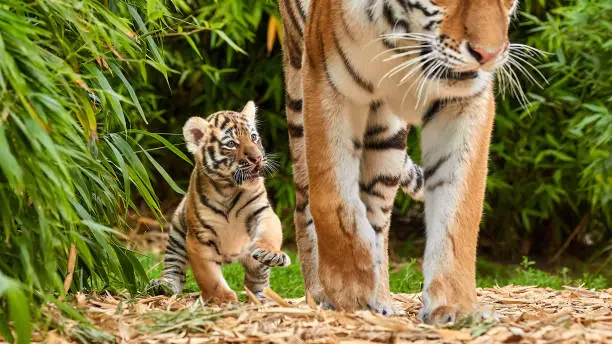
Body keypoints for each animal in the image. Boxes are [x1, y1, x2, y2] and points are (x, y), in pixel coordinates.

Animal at [280, 0, 524, 322]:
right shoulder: (326, 83)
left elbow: (460, 208)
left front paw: (455, 306)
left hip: (387, 135)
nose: (489, 56)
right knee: (305, 202)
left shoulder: (465, 100)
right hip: (298, 96)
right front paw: (348, 291)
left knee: (378, 218)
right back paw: (320, 293)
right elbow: (331, 198)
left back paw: (381, 298)